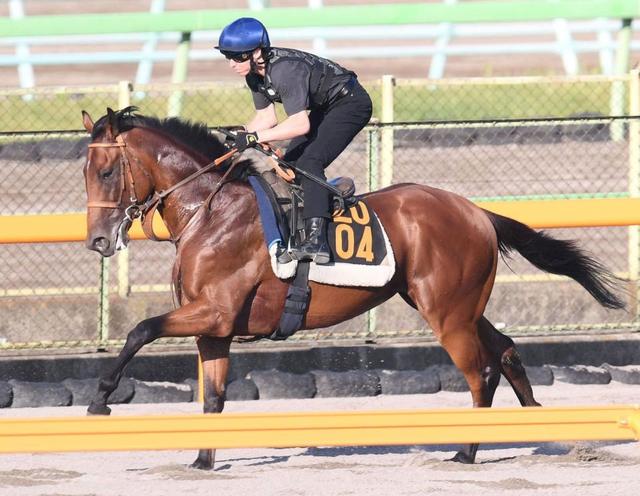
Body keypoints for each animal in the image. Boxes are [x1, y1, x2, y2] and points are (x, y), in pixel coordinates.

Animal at [81, 107, 624, 468]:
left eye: (106, 171)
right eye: (85, 172)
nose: (98, 241)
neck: (211, 211)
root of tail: (476, 211)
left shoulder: (214, 311)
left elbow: (140, 330)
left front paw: (101, 397)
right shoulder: (214, 327)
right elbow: (212, 398)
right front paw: (202, 461)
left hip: (446, 313)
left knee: (480, 372)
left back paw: (467, 452)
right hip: (456, 305)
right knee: (506, 349)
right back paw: (542, 429)